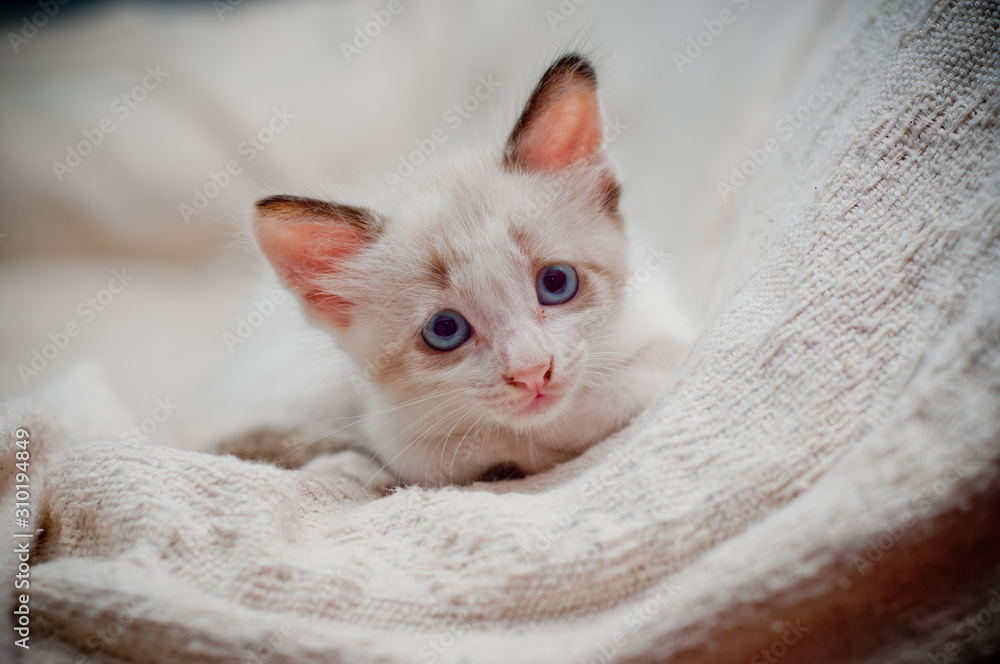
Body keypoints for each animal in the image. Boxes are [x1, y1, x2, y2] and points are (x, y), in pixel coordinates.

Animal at [217, 53, 688, 488]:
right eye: (445, 329)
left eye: (556, 283)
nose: (532, 372)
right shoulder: (398, 434)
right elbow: (450, 452)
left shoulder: (666, 331)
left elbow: (623, 388)